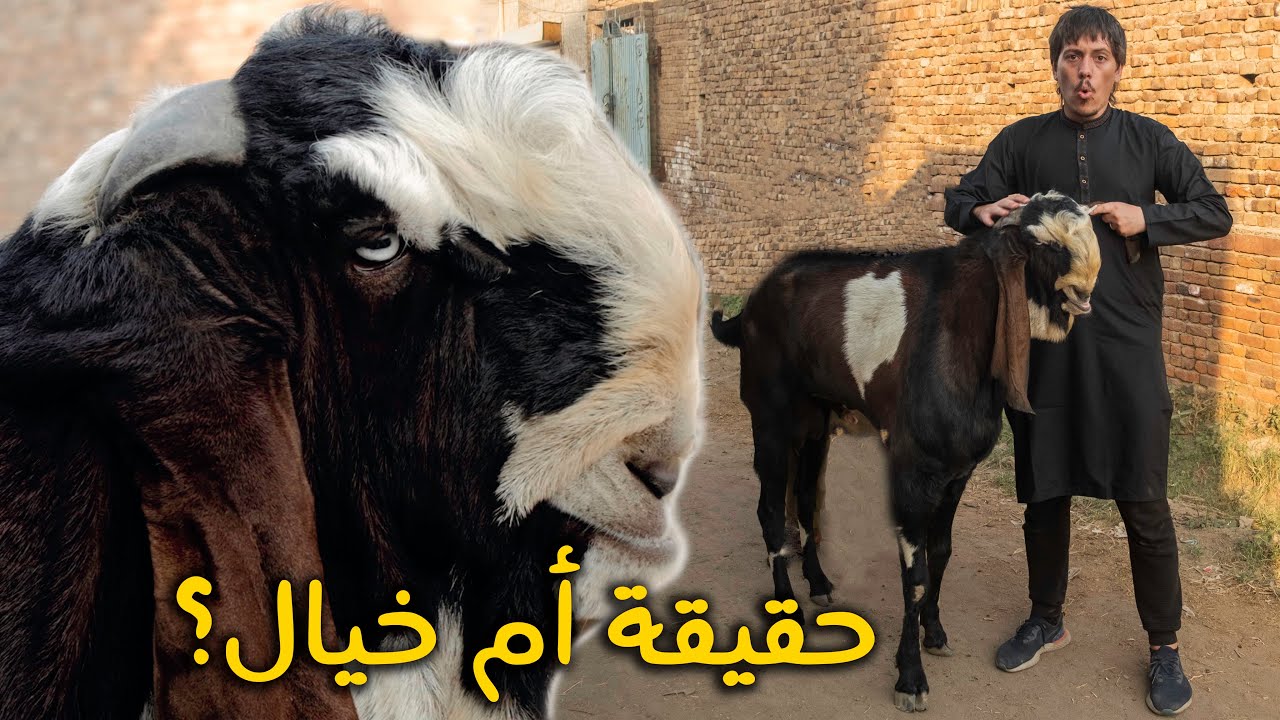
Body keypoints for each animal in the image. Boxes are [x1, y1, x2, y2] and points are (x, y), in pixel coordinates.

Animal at [710, 191, 1100, 712]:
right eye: (1045, 243)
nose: (1085, 285)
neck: (958, 333)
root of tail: (751, 305)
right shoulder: (911, 470)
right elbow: (913, 572)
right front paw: (910, 678)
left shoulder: (956, 473)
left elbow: (941, 553)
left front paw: (935, 633)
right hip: (769, 421)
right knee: (771, 507)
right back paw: (784, 607)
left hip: (815, 425)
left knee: (808, 501)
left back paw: (819, 584)